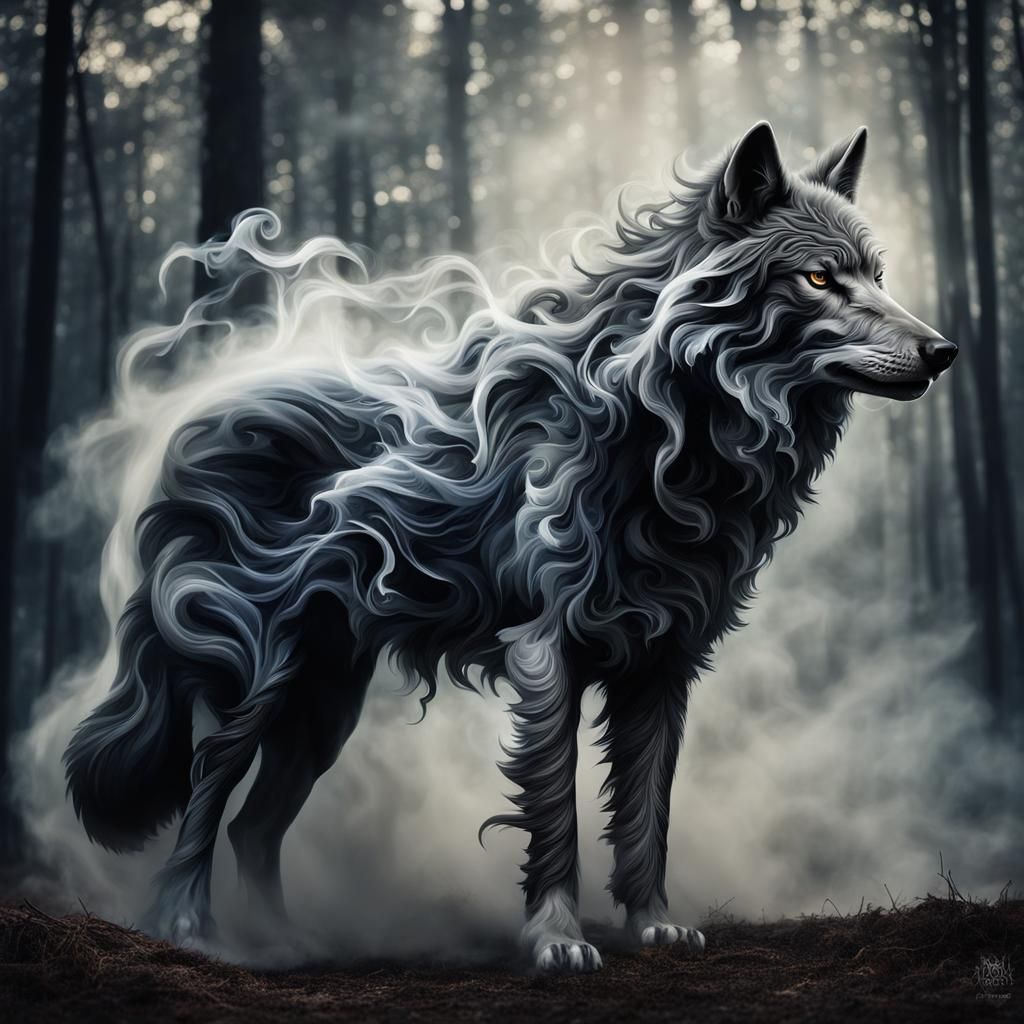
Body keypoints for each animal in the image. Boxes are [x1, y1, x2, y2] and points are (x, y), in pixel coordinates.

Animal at [64, 122, 956, 972]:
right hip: (258, 680)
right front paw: (557, 941)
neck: (668, 428)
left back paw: (286, 942)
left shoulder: (666, 664)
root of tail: (189, 421)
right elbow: (555, 812)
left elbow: (648, 811)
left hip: (323, 710)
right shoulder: (545, 650)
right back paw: (190, 928)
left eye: (878, 275)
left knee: (253, 826)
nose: (943, 351)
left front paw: (654, 925)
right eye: (819, 279)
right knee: (205, 790)